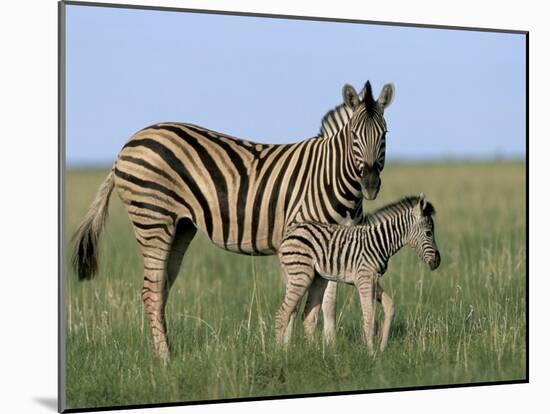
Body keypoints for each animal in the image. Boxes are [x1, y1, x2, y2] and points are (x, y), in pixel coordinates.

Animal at [73, 81, 396, 360]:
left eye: (385, 134)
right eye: (354, 135)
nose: (370, 184)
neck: (330, 176)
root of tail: (128, 144)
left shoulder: (337, 243)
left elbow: (329, 300)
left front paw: (327, 349)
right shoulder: (303, 238)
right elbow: (299, 301)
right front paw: (288, 350)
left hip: (180, 227)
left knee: (161, 288)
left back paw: (165, 351)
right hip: (152, 217)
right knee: (150, 290)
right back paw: (164, 359)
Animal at [278, 194, 442, 352]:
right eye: (429, 233)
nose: (437, 262)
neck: (379, 242)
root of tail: (290, 233)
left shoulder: (373, 280)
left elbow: (390, 307)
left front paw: (382, 347)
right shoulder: (364, 278)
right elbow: (369, 317)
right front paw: (371, 353)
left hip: (316, 278)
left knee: (307, 316)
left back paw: (316, 352)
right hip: (301, 275)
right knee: (283, 314)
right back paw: (280, 353)